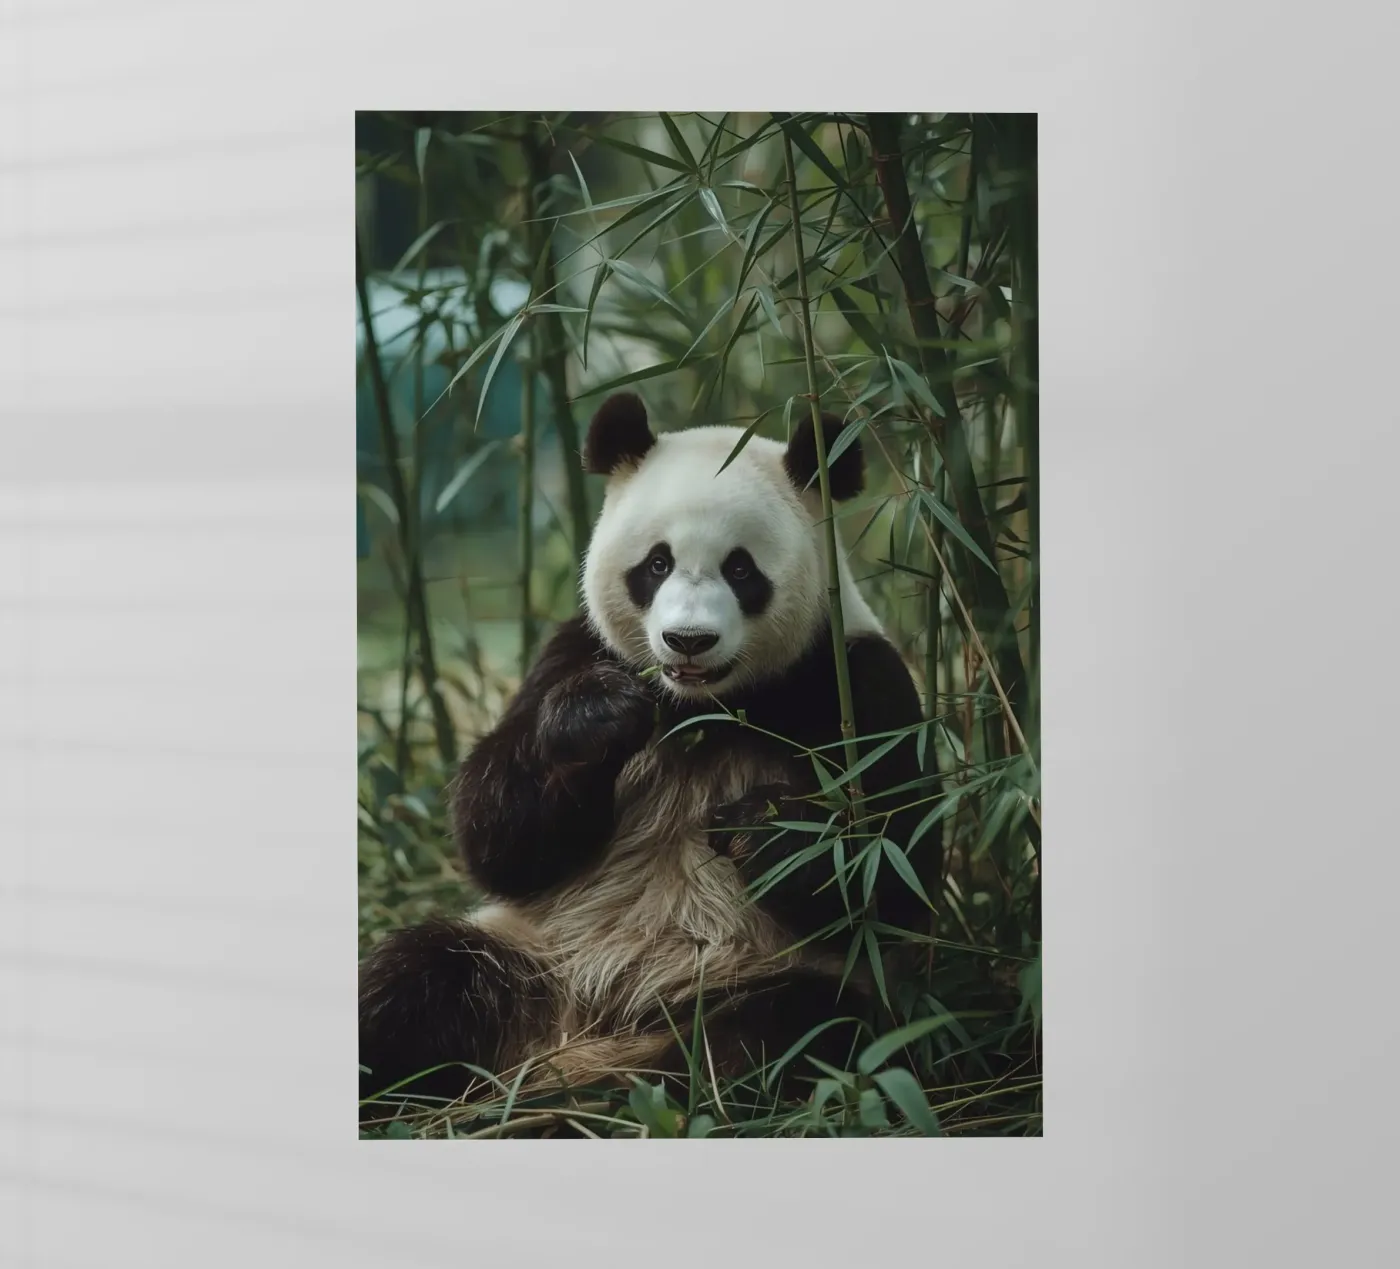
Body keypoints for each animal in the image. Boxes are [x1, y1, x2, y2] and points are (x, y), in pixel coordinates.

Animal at [359, 392, 940, 1118]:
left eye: (741, 568)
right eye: (657, 563)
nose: (688, 639)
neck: (701, 707)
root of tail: (580, 1033)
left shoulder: (854, 680)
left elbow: (894, 864)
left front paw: (759, 827)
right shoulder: (573, 651)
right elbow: (496, 837)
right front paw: (598, 719)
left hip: (751, 972)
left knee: (788, 1032)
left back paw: (646, 1093)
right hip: (534, 953)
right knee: (416, 978)